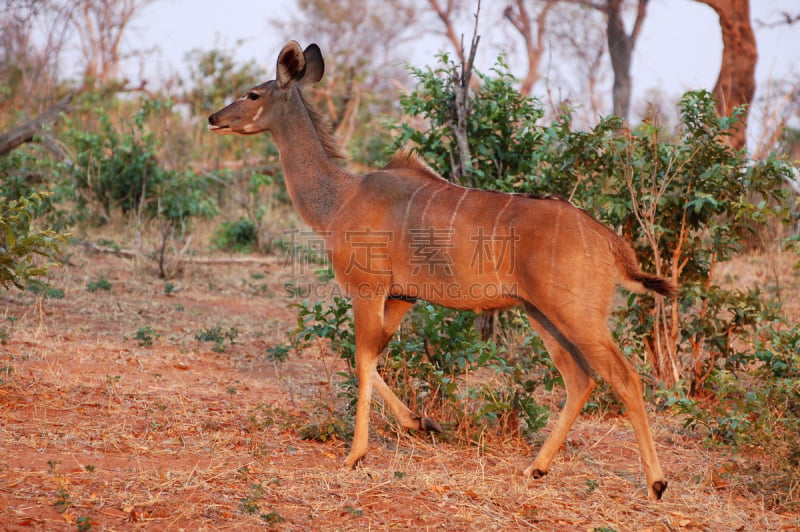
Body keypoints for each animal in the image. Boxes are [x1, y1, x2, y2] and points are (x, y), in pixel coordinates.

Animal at [209, 40, 680, 498]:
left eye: (253, 94)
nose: (215, 118)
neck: (340, 197)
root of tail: (608, 241)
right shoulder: (403, 296)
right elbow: (371, 358)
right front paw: (422, 422)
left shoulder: (368, 289)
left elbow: (361, 357)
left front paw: (356, 455)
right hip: (541, 313)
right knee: (579, 378)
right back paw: (536, 468)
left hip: (575, 314)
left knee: (623, 376)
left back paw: (656, 483)